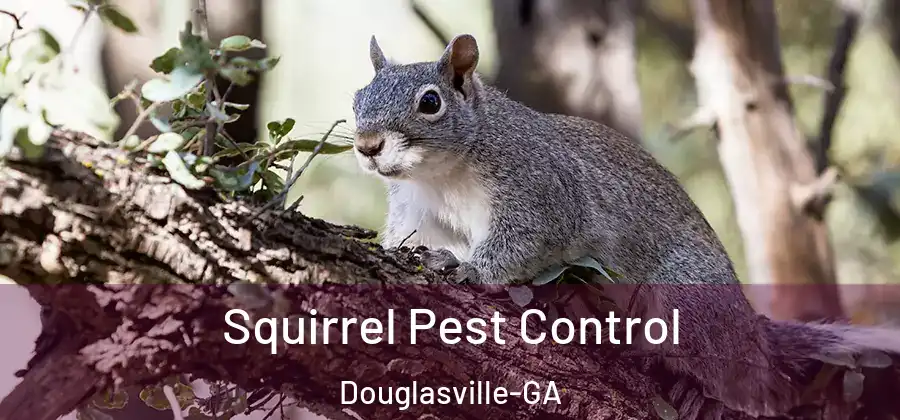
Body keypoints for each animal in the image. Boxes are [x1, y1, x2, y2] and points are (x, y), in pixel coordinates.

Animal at [351, 34, 900, 418]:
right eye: (358, 96)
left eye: (430, 103)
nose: (366, 145)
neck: (442, 173)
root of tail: (750, 332)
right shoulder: (418, 211)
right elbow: (410, 238)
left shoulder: (542, 190)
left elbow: (525, 240)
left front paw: (468, 269)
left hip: (687, 300)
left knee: (744, 382)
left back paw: (702, 391)